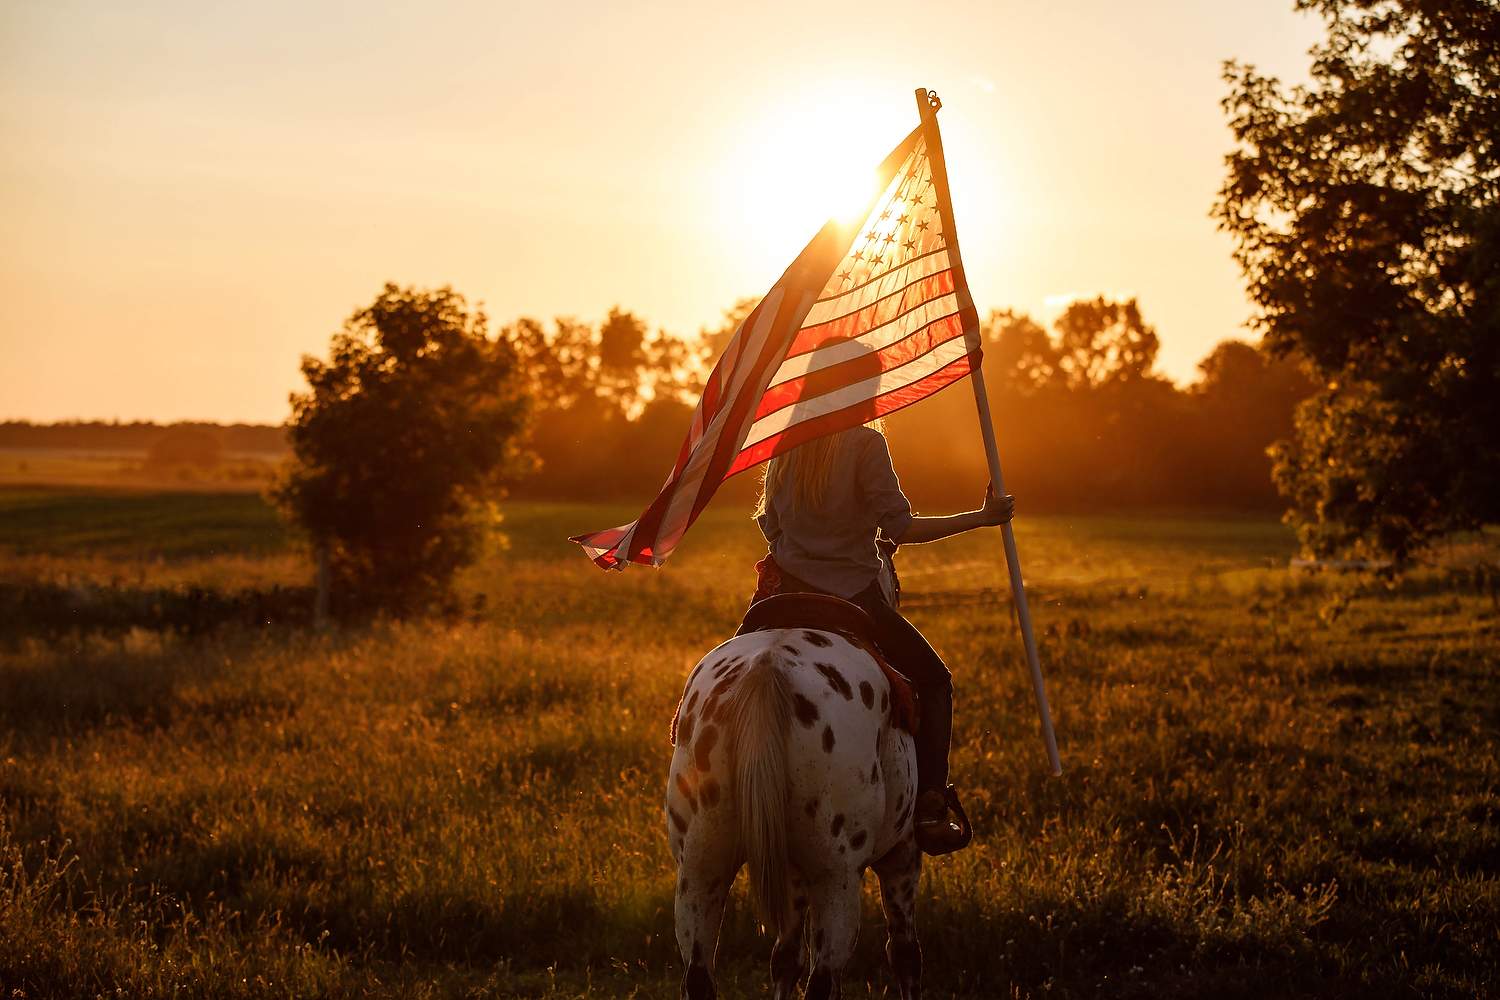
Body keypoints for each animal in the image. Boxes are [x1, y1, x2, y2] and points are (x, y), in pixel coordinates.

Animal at [669, 629, 924, 995]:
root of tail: (765, 671)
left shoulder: (790, 869)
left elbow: (786, 957)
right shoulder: (902, 855)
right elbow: (905, 954)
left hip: (700, 869)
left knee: (698, 977)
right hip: (837, 877)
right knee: (824, 979)